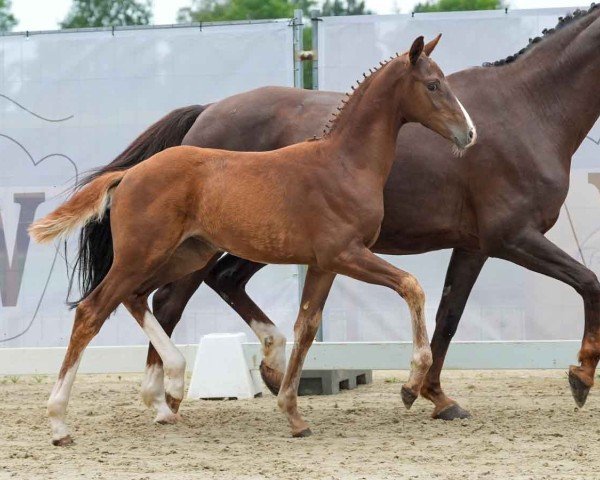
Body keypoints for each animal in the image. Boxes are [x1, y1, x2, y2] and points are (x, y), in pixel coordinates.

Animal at [31, 35, 474, 444]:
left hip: (184, 256)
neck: (344, 164)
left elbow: (306, 327)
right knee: (92, 310)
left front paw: (293, 414)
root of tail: (129, 174)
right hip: (142, 255)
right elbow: (411, 286)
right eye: (433, 84)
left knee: (137, 298)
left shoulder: (324, 265)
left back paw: (167, 388)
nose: (469, 133)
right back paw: (60, 423)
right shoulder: (346, 254)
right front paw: (410, 386)